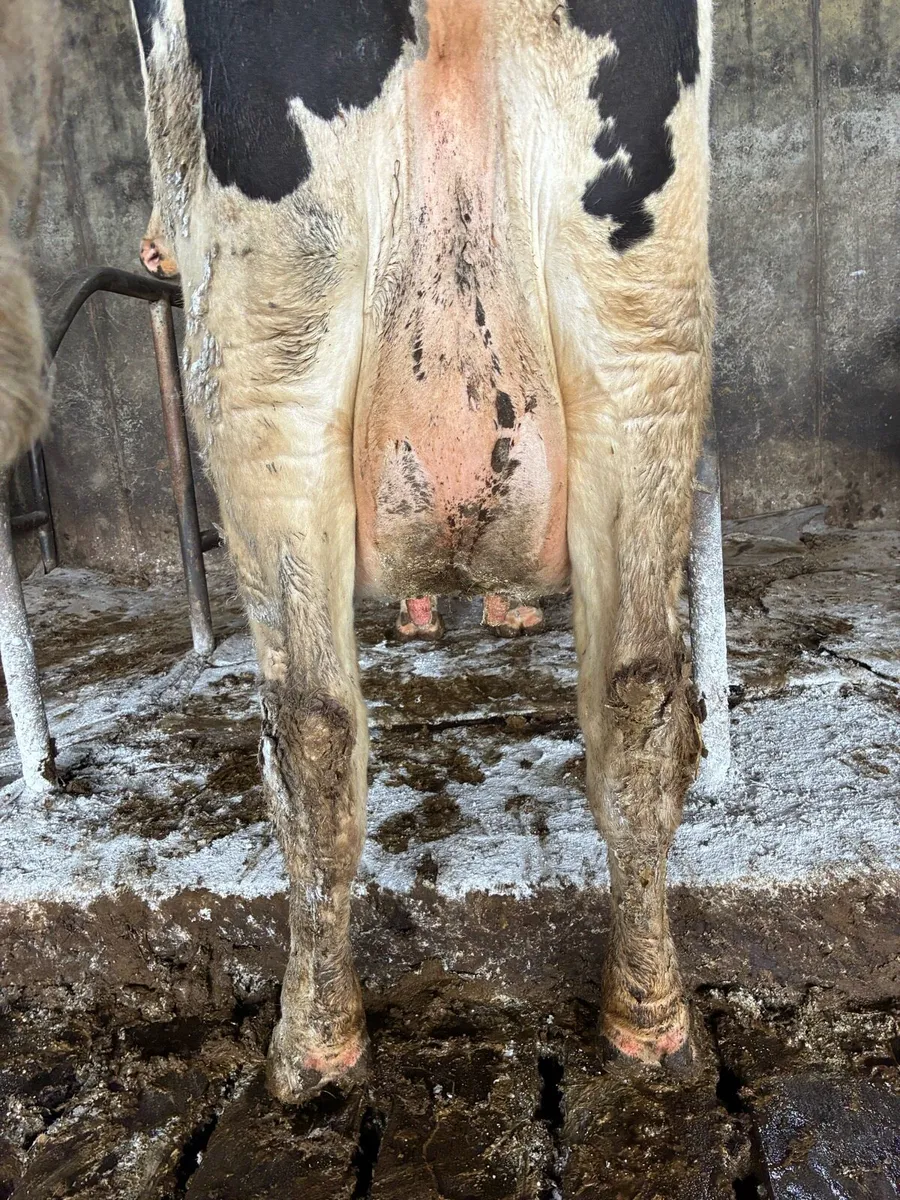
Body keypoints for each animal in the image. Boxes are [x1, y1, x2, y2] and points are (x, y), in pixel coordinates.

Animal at [131, 0, 712, 1104]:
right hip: (641, 321)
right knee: (637, 690)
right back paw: (650, 1024)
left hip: (262, 336)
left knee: (308, 722)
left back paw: (311, 1048)